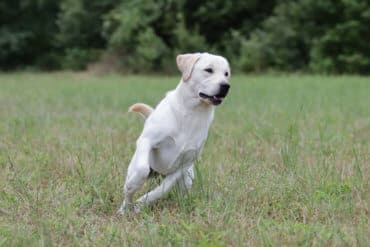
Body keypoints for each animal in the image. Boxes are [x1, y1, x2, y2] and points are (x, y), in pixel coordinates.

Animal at [118, 52, 230, 214]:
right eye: (209, 70)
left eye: (226, 74)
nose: (226, 86)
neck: (192, 113)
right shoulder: (147, 140)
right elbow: (142, 170)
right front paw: (133, 186)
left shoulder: (185, 163)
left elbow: (163, 188)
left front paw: (142, 203)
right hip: (133, 165)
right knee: (129, 190)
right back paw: (124, 209)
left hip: (188, 177)